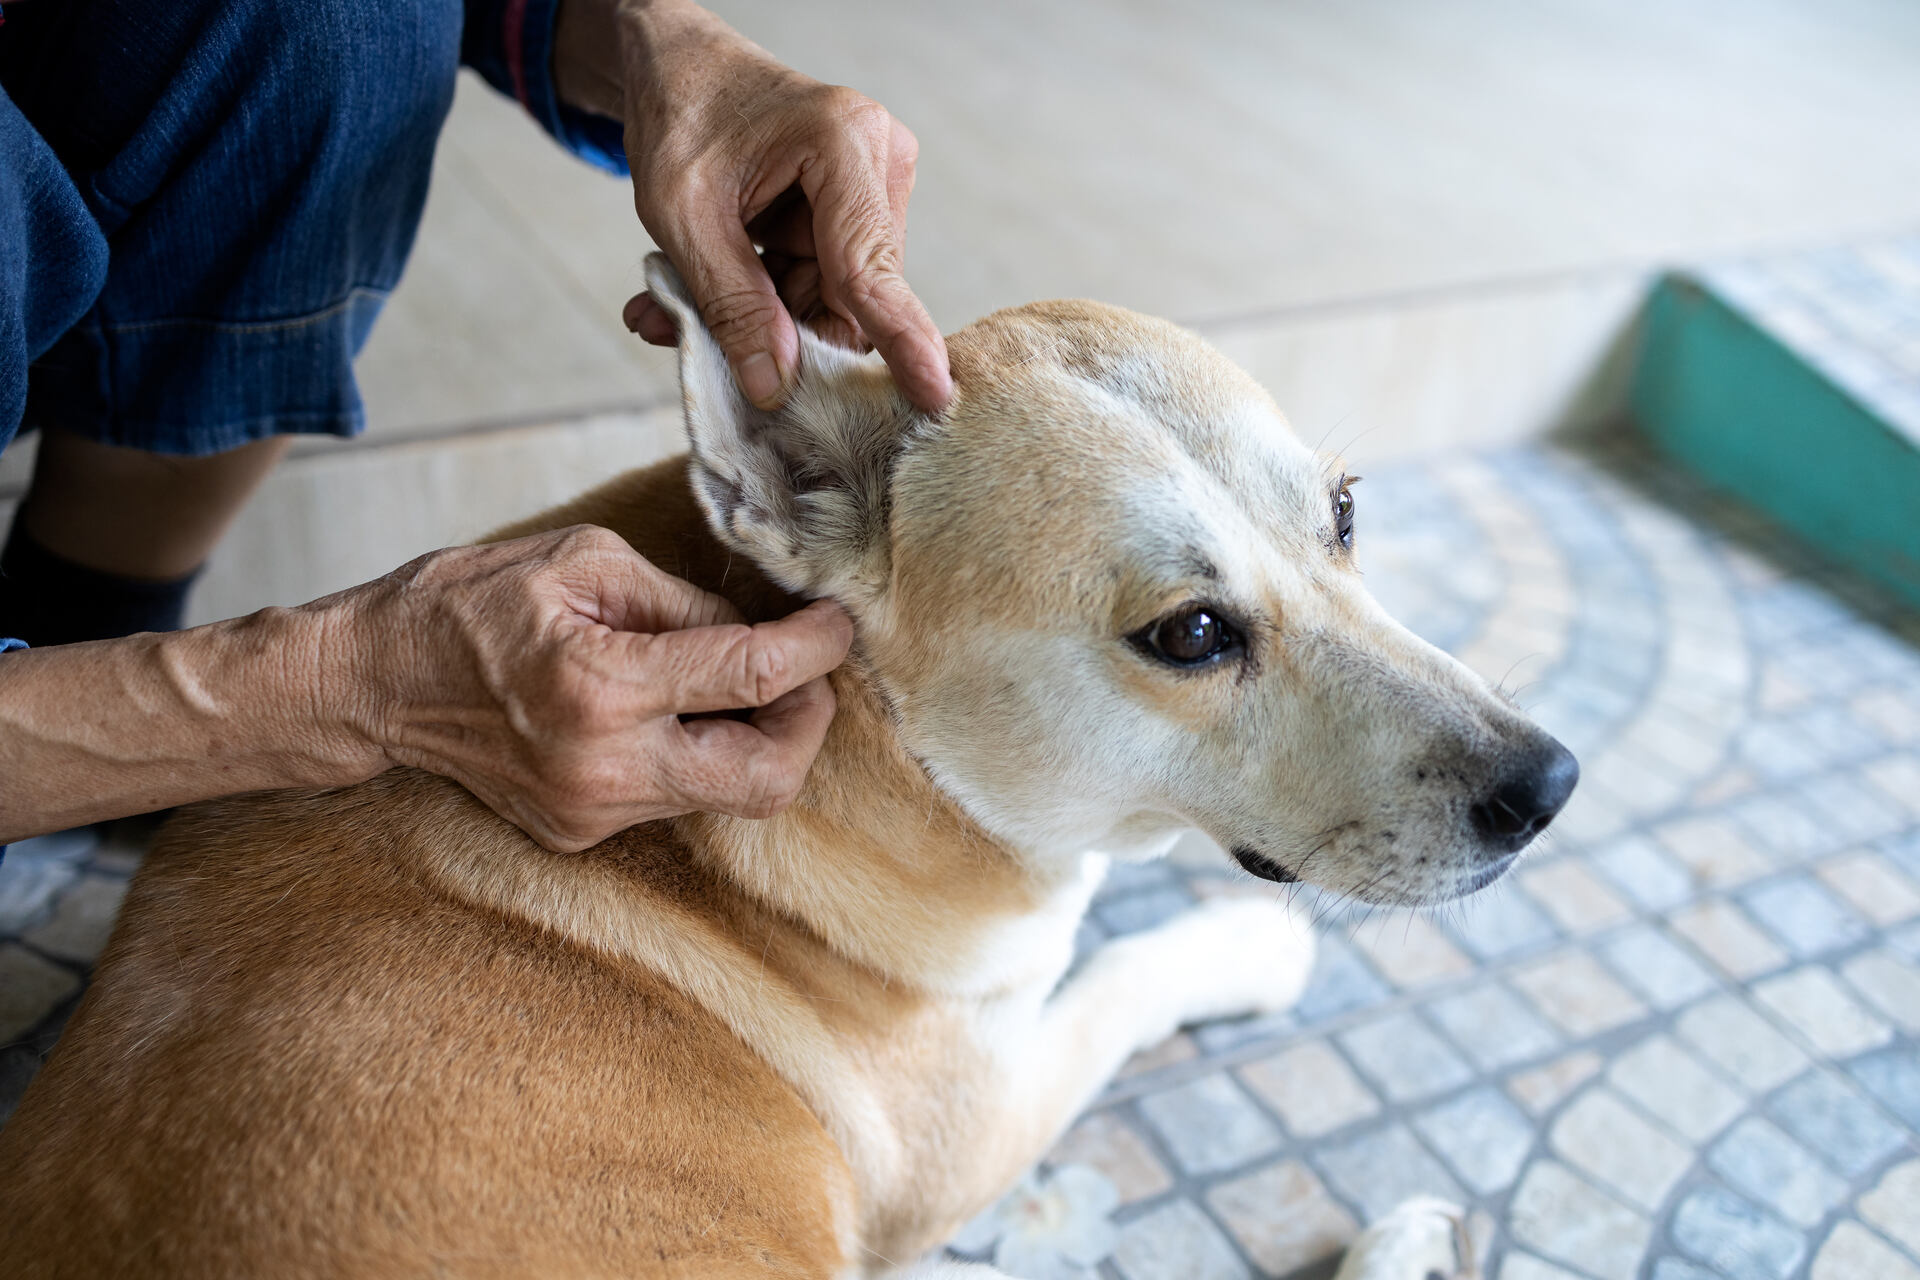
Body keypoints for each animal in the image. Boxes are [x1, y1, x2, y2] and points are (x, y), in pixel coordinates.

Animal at [0, 255, 1574, 1274]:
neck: (896, 764)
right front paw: (1249, 943)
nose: (1548, 788)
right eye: (1188, 633)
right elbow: (1129, 970)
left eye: (1347, 514)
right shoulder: (978, 1121)